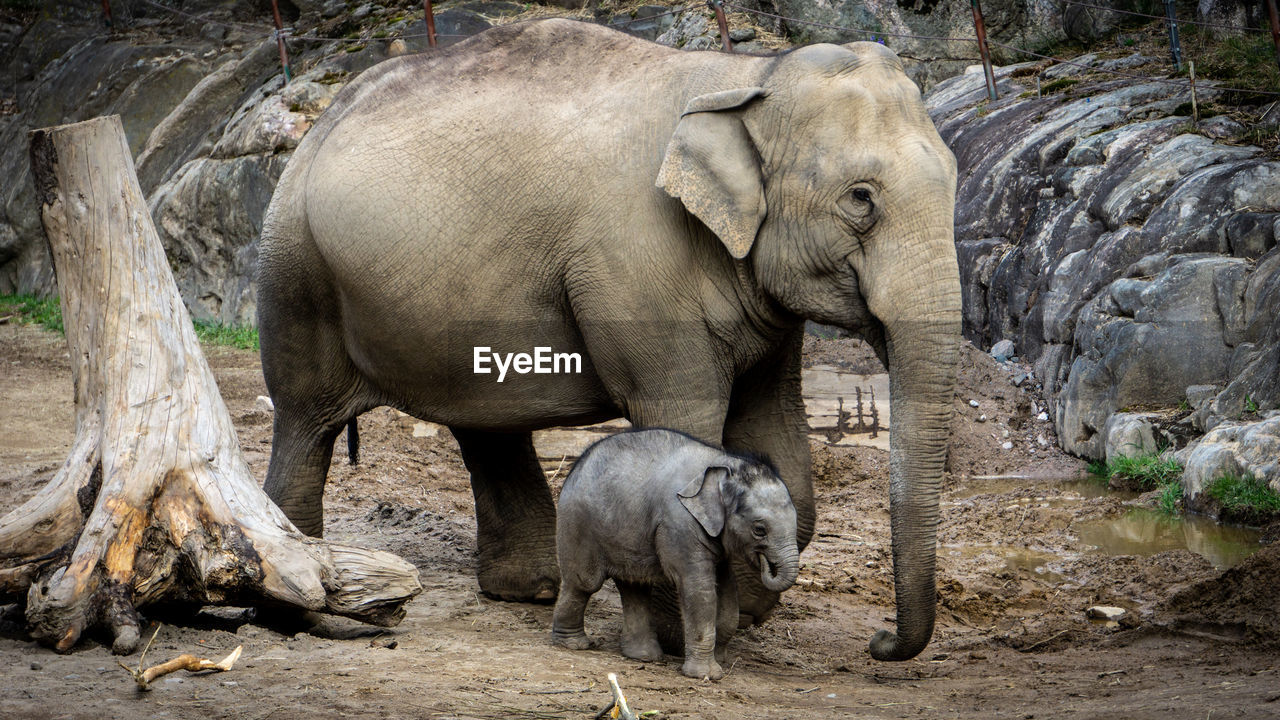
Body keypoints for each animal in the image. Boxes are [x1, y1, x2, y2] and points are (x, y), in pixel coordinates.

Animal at [552, 427, 798, 676]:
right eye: (759, 530)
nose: (767, 563)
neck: (725, 464)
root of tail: (576, 465)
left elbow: (728, 591)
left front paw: (721, 661)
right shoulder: (679, 523)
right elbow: (698, 588)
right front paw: (706, 675)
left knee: (634, 587)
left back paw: (644, 656)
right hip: (578, 523)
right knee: (584, 583)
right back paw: (574, 644)